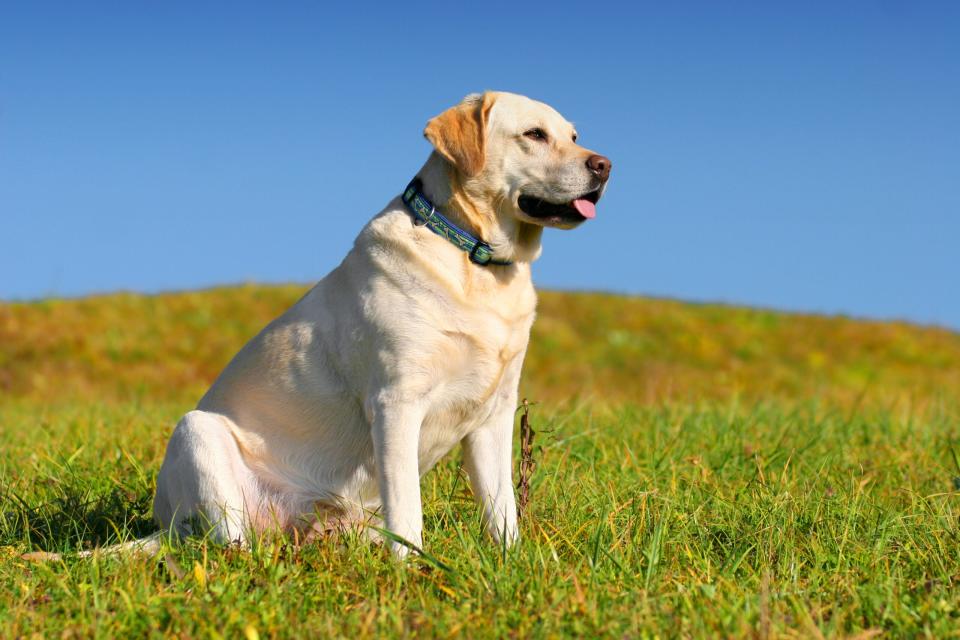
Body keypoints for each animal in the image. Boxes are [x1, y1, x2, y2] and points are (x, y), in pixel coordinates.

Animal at [152, 92, 616, 556]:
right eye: (534, 134)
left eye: (574, 136)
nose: (605, 165)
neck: (474, 258)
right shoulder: (397, 402)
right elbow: (409, 506)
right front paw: (412, 565)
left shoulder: (495, 413)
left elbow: (502, 507)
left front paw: (510, 559)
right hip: (197, 433)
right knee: (231, 544)